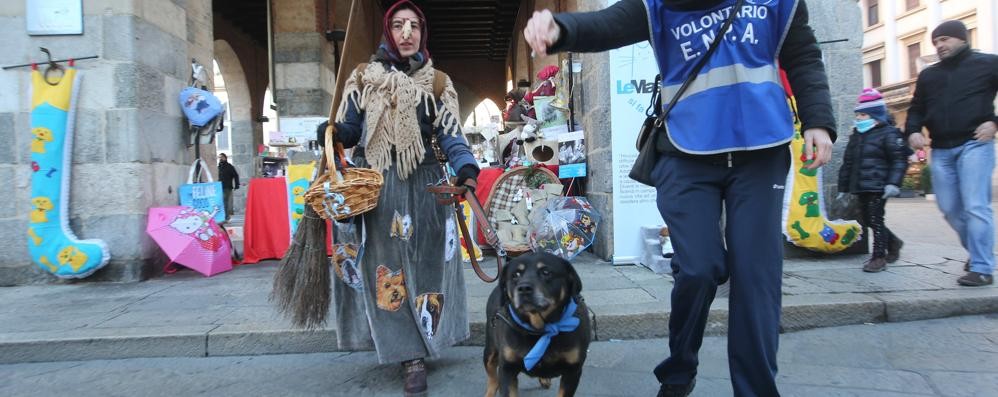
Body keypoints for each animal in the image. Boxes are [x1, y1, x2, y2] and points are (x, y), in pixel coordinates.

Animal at [486, 252, 592, 394]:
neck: (541, 328)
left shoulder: (573, 371)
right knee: (493, 377)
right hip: (490, 350)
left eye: (546, 272)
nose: (524, 288)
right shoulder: (507, 368)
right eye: (515, 275)